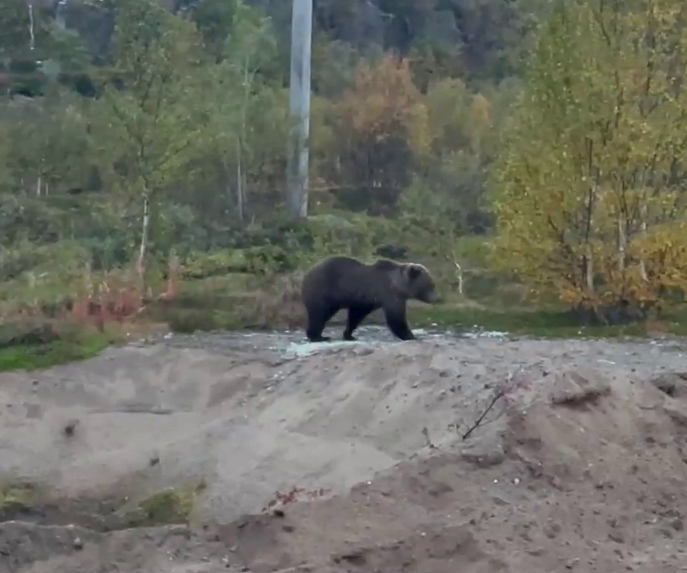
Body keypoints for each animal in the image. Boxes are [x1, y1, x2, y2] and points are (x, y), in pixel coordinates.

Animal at [300, 255, 439, 343]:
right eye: (430, 285)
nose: (437, 298)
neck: (399, 285)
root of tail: (306, 274)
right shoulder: (389, 295)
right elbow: (396, 318)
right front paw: (410, 335)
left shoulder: (366, 301)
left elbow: (356, 315)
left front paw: (349, 334)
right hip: (322, 290)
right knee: (318, 314)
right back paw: (318, 336)